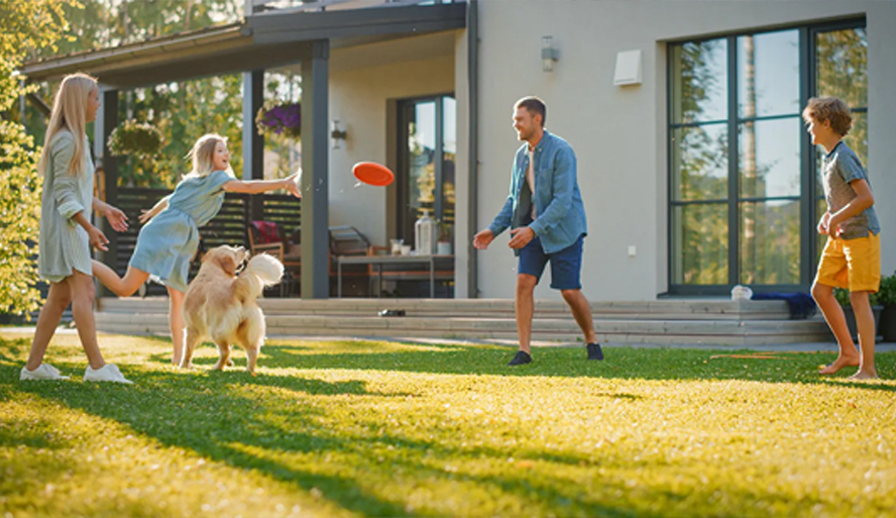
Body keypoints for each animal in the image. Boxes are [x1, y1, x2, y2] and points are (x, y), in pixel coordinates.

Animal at [180, 246, 282, 376]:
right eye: (234, 250)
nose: (243, 247)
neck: (212, 270)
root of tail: (234, 286)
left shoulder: (191, 328)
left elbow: (187, 350)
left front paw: (184, 366)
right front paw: (229, 363)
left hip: (216, 331)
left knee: (225, 351)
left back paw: (217, 367)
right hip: (244, 332)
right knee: (252, 351)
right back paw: (249, 370)